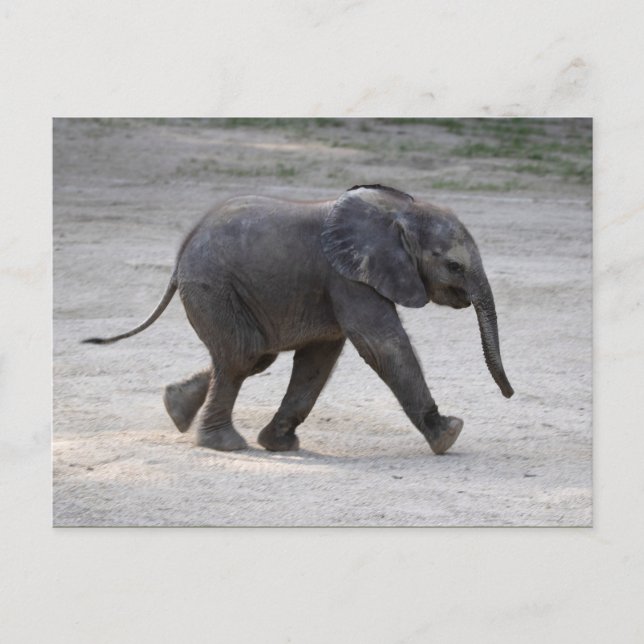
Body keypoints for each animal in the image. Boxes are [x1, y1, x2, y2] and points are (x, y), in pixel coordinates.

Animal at [84, 184, 513, 454]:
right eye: (454, 266)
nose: (510, 395)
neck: (399, 212)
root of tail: (180, 254)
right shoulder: (346, 277)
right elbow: (382, 345)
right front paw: (449, 435)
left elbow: (319, 359)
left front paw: (280, 445)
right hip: (213, 286)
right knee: (243, 355)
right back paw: (225, 445)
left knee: (253, 357)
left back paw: (176, 408)